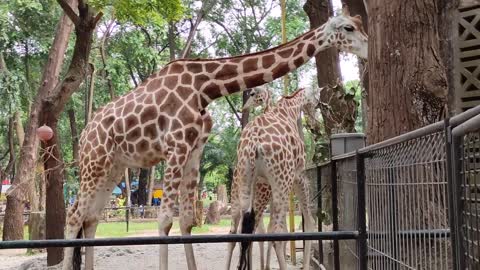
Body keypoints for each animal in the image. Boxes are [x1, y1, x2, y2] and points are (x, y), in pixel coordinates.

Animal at [61, 4, 368, 270]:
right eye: (349, 27)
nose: (367, 48)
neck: (205, 87)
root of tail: (84, 136)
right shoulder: (176, 147)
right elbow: (165, 221)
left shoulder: (194, 148)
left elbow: (186, 220)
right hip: (94, 163)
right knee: (74, 215)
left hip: (113, 168)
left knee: (90, 218)